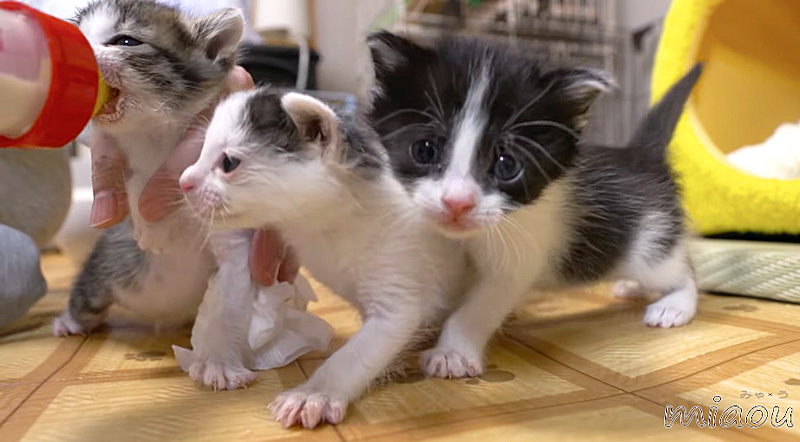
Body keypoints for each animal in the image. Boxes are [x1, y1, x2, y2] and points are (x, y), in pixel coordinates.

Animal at [53, 0, 242, 336]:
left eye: (126, 41)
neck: (155, 134)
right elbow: (137, 186)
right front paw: (152, 226)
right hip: (105, 271)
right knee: (88, 295)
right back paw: (69, 321)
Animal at [179, 89, 472, 428]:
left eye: (228, 162)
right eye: (201, 152)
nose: (183, 181)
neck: (325, 226)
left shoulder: (398, 293)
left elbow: (356, 354)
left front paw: (314, 393)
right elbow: (231, 293)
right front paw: (217, 359)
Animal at [368, 32, 700, 380]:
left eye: (507, 164)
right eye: (424, 149)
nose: (457, 202)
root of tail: (641, 155)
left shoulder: (517, 258)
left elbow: (479, 307)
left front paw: (452, 353)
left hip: (650, 243)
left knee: (680, 270)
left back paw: (674, 304)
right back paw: (631, 287)